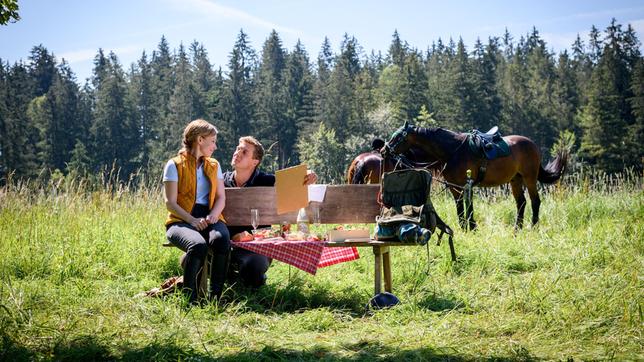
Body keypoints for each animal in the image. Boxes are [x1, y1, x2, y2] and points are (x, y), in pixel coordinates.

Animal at [382, 121, 568, 229]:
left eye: (398, 137)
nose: (384, 150)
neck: (453, 151)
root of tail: (532, 144)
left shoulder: (466, 184)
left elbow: (469, 205)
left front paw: (472, 226)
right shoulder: (454, 187)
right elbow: (459, 207)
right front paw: (464, 226)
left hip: (530, 178)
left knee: (535, 201)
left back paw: (533, 226)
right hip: (516, 180)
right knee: (521, 203)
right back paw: (517, 228)